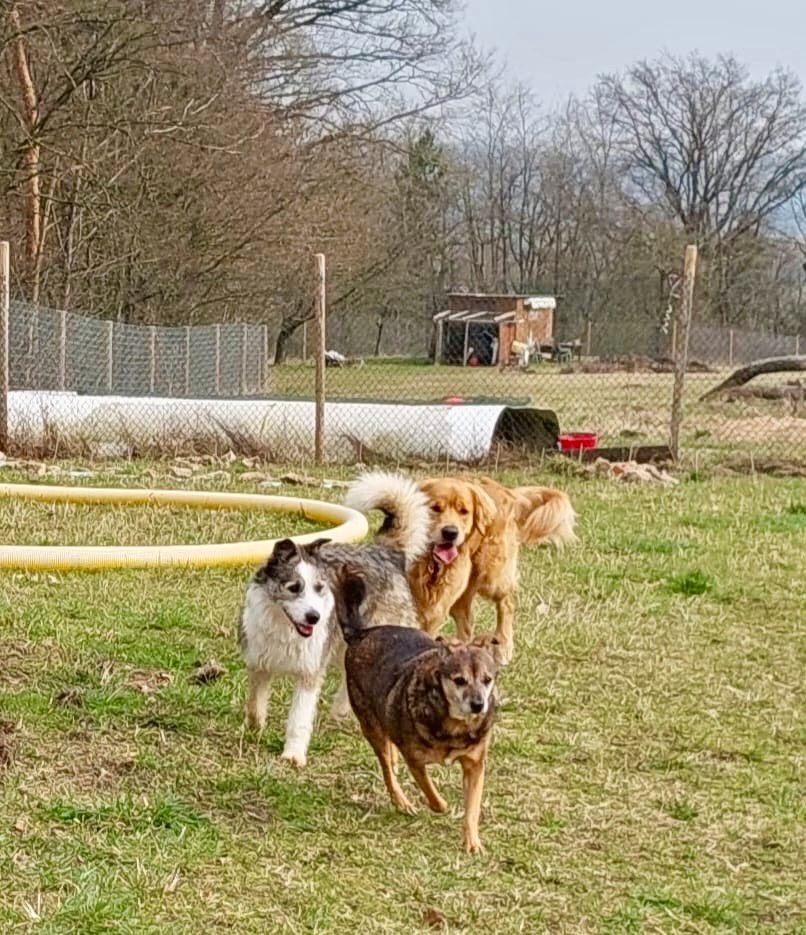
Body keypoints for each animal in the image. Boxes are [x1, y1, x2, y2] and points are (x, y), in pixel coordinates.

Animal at [238, 476, 432, 768]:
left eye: (319, 588)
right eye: (294, 588)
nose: (314, 617)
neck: (285, 627)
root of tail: (383, 550)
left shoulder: (309, 673)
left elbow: (299, 719)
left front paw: (293, 755)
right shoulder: (259, 662)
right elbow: (254, 703)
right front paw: (254, 728)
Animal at [334, 572, 498, 856]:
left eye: (487, 680)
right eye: (459, 680)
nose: (478, 704)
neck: (454, 725)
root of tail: (361, 634)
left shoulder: (475, 763)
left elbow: (473, 806)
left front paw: (472, 841)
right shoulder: (416, 760)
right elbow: (429, 789)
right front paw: (441, 805)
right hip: (369, 724)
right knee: (387, 767)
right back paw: (402, 800)